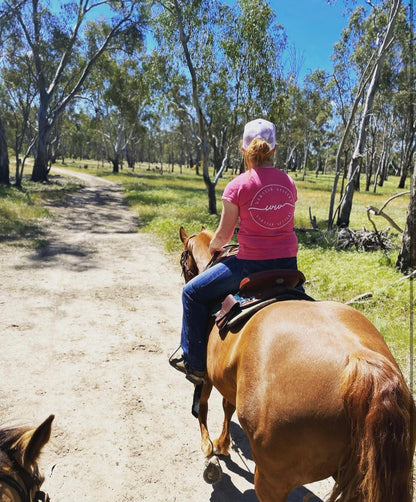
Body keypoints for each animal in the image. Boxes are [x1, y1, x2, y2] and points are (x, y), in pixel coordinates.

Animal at [180, 227, 416, 502]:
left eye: (183, 259)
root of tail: (365, 364)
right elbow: (227, 406)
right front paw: (222, 445)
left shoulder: (206, 375)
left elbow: (203, 406)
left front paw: (210, 451)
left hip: (272, 478)